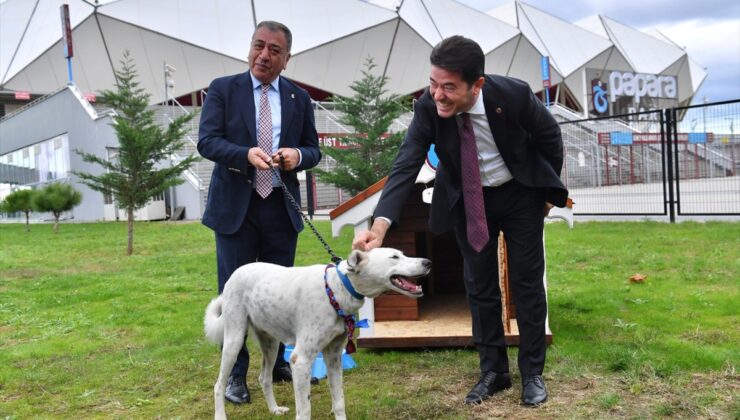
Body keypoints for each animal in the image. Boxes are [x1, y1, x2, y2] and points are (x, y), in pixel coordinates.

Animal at [204, 248, 434, 418]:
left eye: (403, 254)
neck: (336, 288)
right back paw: (221, 415)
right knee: (218, 385)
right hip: (234, 341)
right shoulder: (301, 360)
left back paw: (274, 409)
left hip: (271, 345)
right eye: (394, 257)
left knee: (264, 378)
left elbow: (339, 401)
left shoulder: (333, 357)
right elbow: (305, 410)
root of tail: (237, 271)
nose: (428, 262)